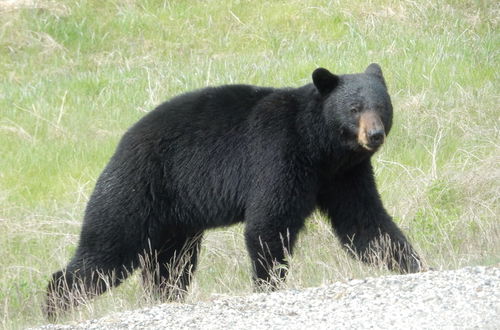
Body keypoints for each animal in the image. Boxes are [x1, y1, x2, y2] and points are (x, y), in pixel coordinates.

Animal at [46, 63, 422, 320]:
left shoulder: (344, 175)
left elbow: (364, 223)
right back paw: (55, 305)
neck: (320, 147)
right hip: (138, 189)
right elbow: (270, 223)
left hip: (176, 222)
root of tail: (121, 143)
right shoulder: (278, 153)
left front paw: (414, 264)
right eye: (354, 108)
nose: (374, 135)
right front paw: (267, 285)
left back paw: (162, 298)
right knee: (107, 250)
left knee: (171, 267)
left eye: (381, 106)